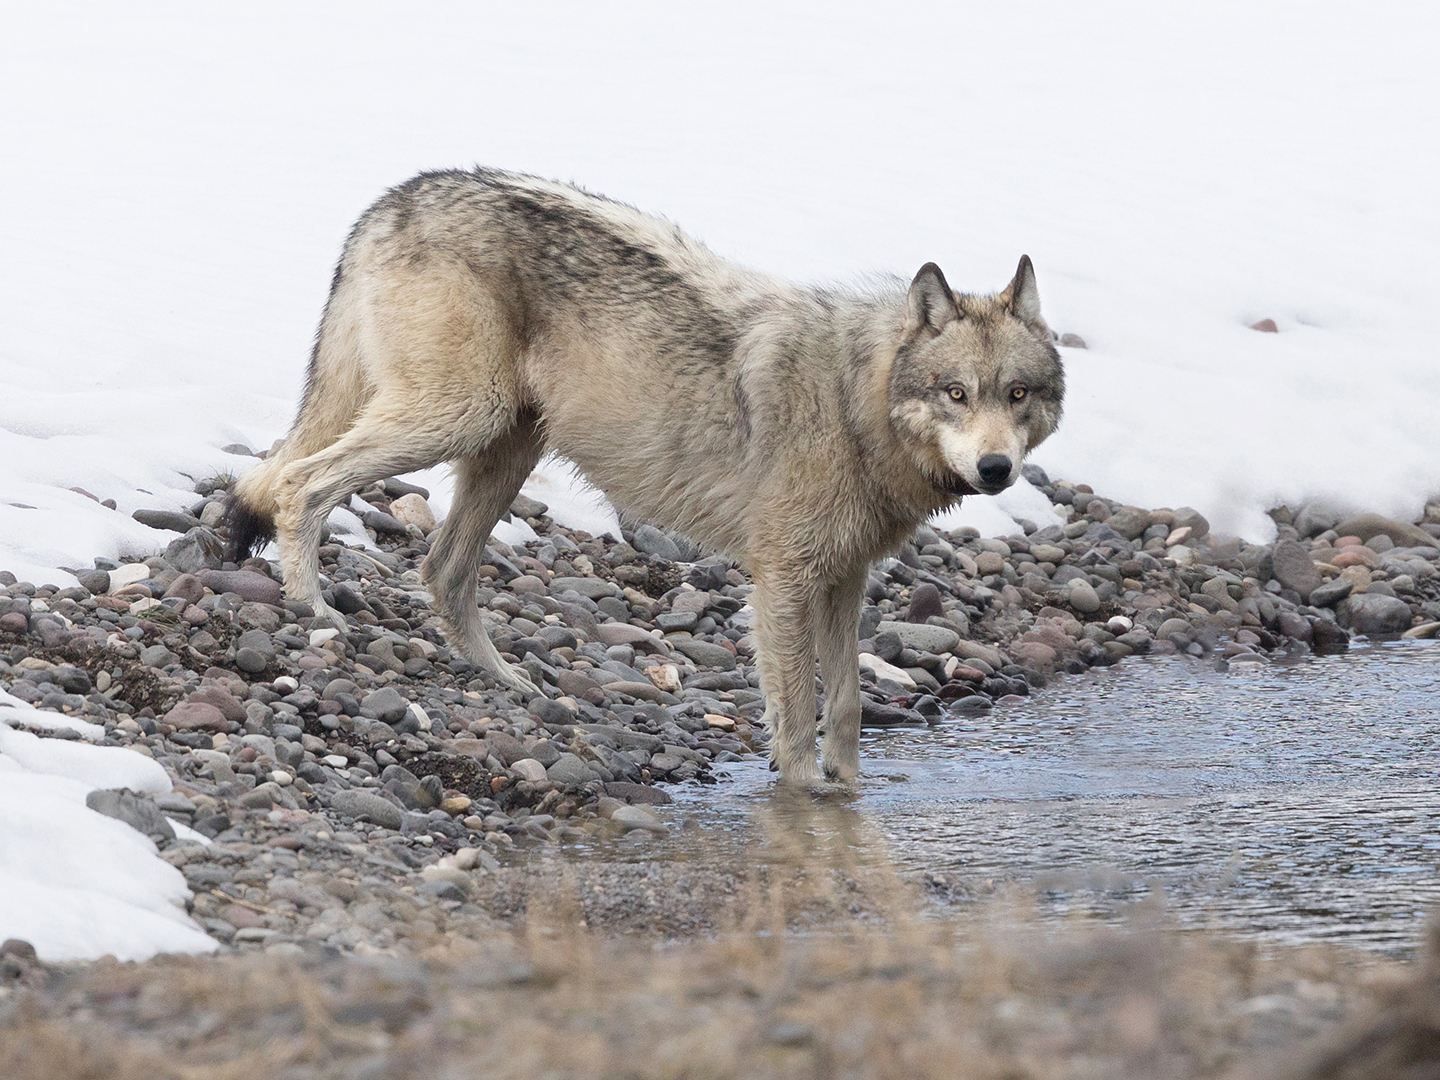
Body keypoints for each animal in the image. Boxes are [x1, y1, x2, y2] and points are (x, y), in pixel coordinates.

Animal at [225, 167, 1064, 784]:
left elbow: (850, 716)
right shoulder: (784, 582)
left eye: (1017, 394)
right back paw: (314, 612)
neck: (852, 401)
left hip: (503, 445)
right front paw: (808, 814)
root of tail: (398, 193)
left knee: (440, 568)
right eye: (956, 394)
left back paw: (510, 685)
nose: (996, 468)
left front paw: (849, 801)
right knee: (300, 484)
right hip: (459, 418)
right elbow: (797, 723)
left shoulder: (844, 581)